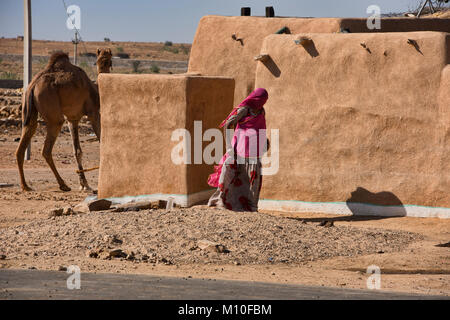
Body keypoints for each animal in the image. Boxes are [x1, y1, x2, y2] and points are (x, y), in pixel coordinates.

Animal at [17, 48, 112, 191]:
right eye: (99, 61)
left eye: (108, 61)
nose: (105, 66)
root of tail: (33, 86)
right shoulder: (93, 112)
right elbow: (102, 143)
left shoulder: (72, 119)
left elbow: (77, 151)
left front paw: (84, 184)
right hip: (52, 112)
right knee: (46, 149)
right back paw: (63, 184)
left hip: (29, 112)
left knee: (24, 142)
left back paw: (25, 186)